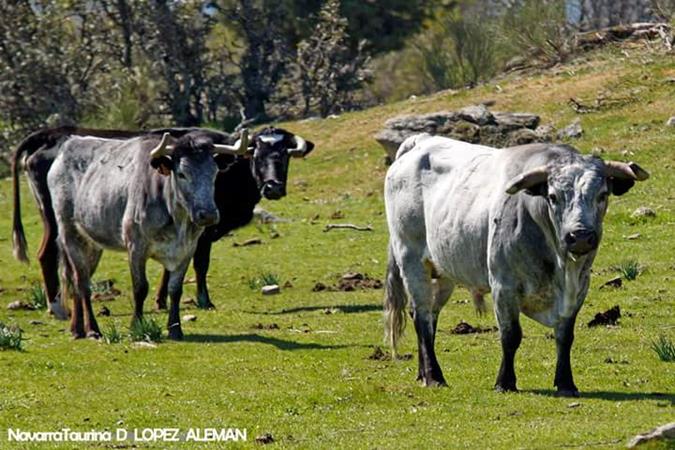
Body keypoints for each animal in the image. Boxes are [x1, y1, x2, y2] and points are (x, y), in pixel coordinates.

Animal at [47, 130, 250, 338]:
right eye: (182, 174)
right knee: (82, 282)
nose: (208, 215)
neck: (177, 220)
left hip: (92, 242)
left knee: (77, 279)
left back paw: (77, 328)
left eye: (214, 173)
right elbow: (140, 287)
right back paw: (92, 329)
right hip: (70, 233)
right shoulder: (136, 246)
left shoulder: (187, 250)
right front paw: (136, 325)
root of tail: (69, 143)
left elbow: (175, 289)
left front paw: (175, 329)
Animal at [382, 133, 648, 394]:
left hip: (443, 270)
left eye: (602, 195)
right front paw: (505, 382)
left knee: (427, 316)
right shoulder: (504, 287)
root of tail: (421, 140)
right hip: (411, 258)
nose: (580, 236)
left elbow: (565, 336)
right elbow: (511, 336)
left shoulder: (579, 289)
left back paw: (423, 373)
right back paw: (434, 376)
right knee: (423, 317)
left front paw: (566, 383)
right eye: (553, 197)